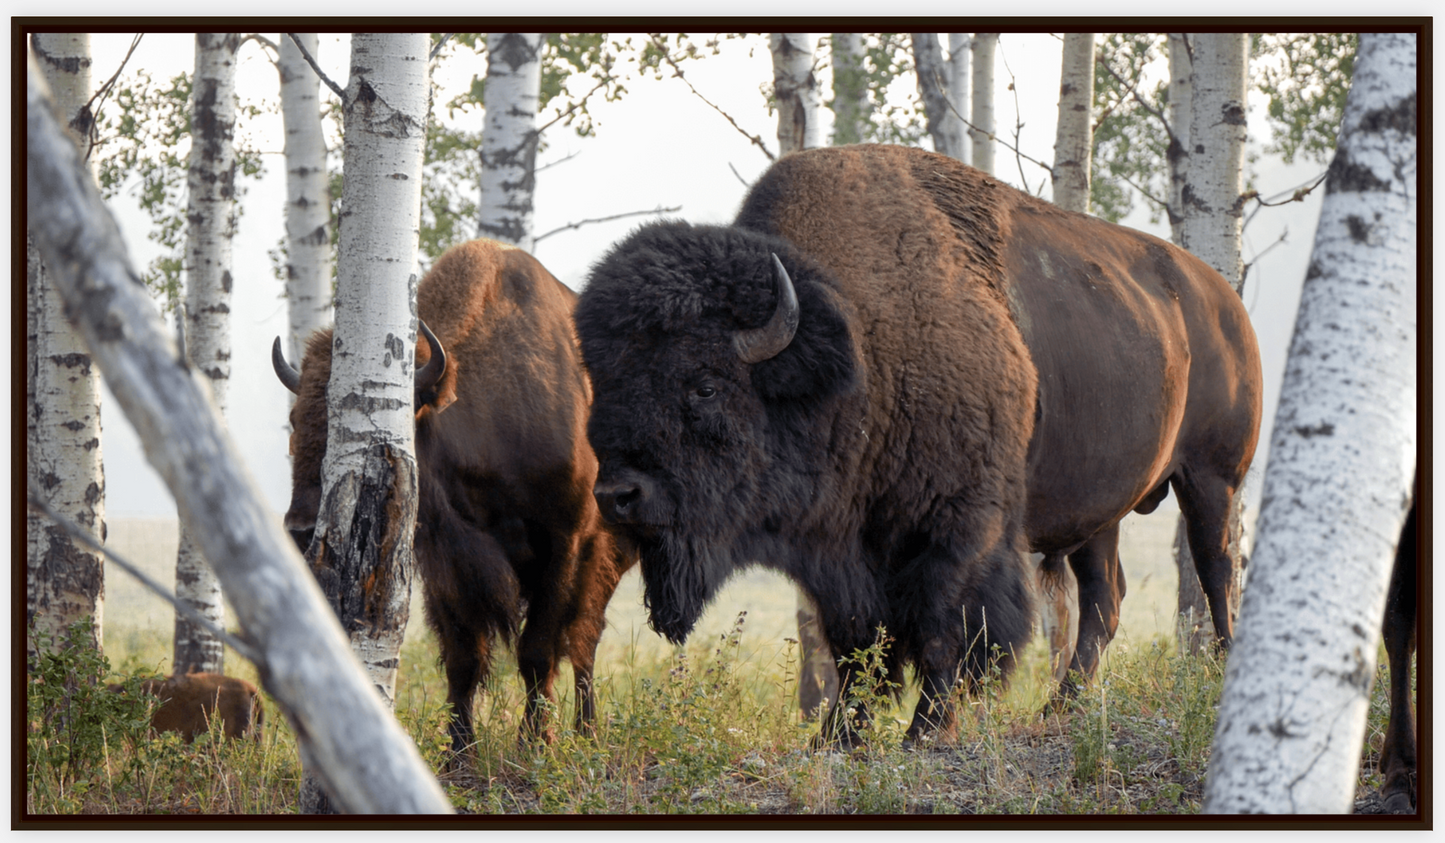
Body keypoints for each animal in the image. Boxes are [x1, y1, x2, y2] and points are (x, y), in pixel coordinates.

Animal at [271, 241, 632, 757]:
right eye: (296, 420)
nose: (301, 530)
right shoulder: (444, 561)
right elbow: (464, 656)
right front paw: (458, 754)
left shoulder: (564, 542)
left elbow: (538, 650)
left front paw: (535, 744)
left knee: (584, 640)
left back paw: (586, 732)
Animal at [575, 145, 1265, 746]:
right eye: (603, 381)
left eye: (706, 384)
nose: (617, 494)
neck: (859, 346)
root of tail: (1223, 298)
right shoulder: (842, 554)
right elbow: (855, 646)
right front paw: (838, 738)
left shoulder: (959, 529)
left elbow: (946, 628)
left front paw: (926, 732)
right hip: (1103, 513)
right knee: (1106, 600)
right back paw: (1057, 711)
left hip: (1212, 479)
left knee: (1216, 570)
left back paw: (1219, 675)